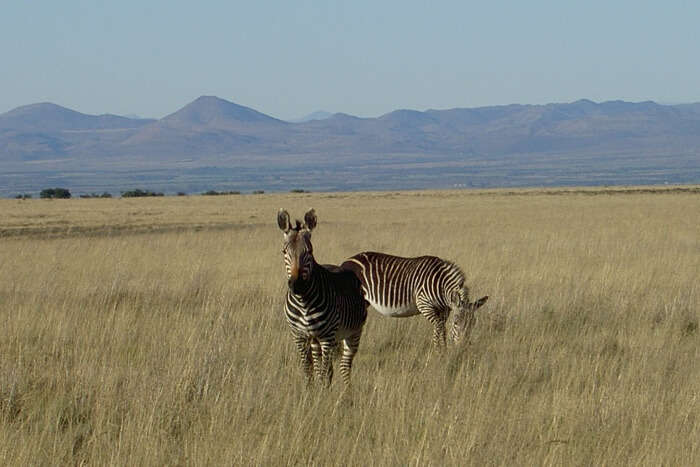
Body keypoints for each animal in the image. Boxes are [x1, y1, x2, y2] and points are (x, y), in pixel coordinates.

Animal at [278, 208, 370, 388]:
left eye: (309, 252)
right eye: (284, 252)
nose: (297, 285)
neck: (304, 303)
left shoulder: (327, 337)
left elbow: (325, 372)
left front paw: (322, 393)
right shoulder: (299, 336)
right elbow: (308, 370)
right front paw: (309, 392)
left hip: (352, 333)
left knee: (344, 365)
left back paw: (347, 392)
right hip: (316, 340)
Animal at [340, 252, 486, 348]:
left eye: (473, 323)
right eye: (456, 323)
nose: (463, 347)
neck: (440, 287)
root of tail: (347, 260)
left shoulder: (444, 310)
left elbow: (440, 328)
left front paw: (441, 349)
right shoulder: (424, 305)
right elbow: (439, 327)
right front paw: (439, 351)